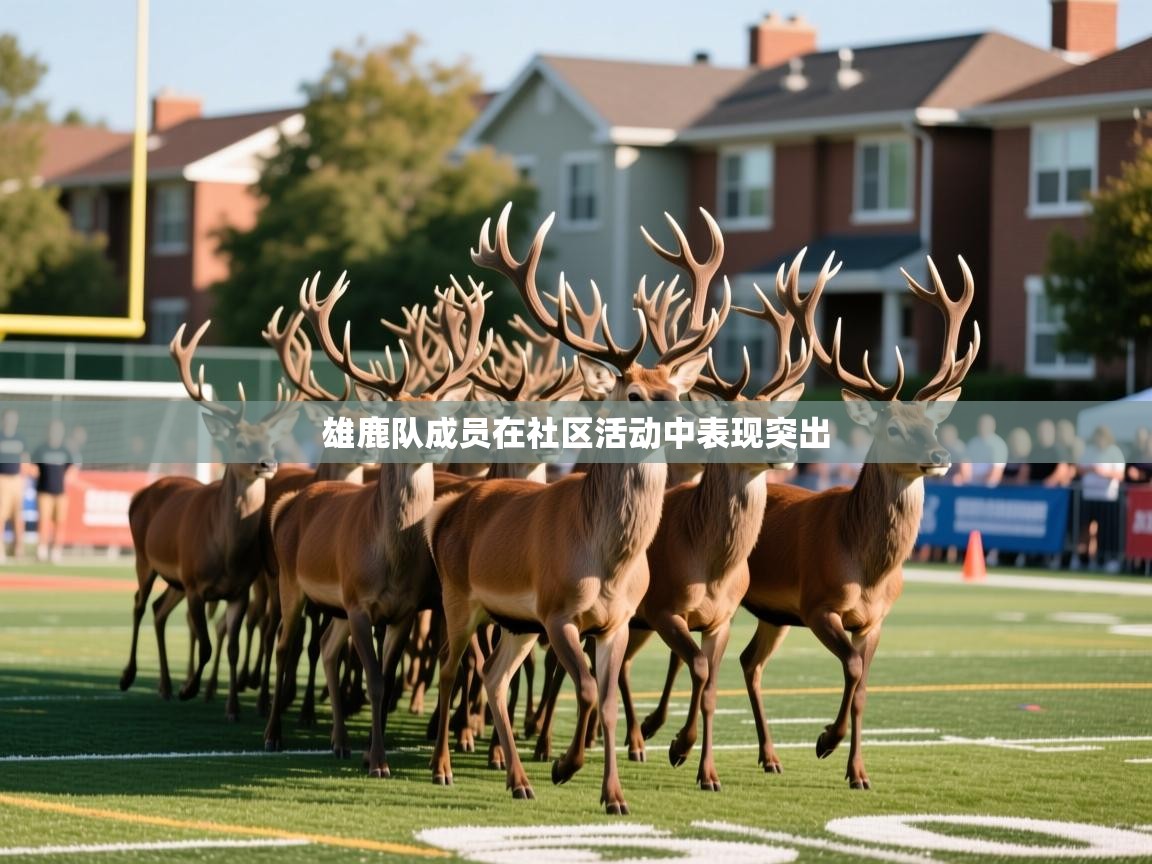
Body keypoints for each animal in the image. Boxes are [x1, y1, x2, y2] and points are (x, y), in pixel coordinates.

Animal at [118, 321, 299, 720]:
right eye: (239, 442)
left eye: (271, 443)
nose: (269, 463)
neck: (226, 553)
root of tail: (141, 493)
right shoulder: (196, 585)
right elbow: (204, 644)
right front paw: (190, 688)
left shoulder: (238, 591)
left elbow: (229, 647)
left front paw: (231, 707)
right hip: (145, 557)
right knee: (139, 604)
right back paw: (129, 677)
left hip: (175, 579)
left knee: (158, 610)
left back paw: (164, 686)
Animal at [264, 272, 488, 775]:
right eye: (399, 414)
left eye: (438, 411)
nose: (437, 439)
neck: (391, 561)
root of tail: (287, 503)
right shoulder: (359, 600)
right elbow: (375, 681)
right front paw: (379, 762)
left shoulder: (402, 611)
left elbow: (383, 681)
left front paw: (371, 753)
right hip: (291, 581)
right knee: (286, 647)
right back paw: (273, 735)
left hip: (335, 607)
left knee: (328, 646)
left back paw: (340, 742)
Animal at [423, 202, 719, 815]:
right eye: (635, 395)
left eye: (676, 391)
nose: (690, 425)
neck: (608, 563)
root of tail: (449, 511)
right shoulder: (557, 611)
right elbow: (582, 689)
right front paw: (564, 765)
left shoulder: (616, 621)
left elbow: (603, 700)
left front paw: (613, 795)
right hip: (460, 596)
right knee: (450, 668)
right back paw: (443, 768)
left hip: (515, 622)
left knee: (493, 679)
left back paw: (518, 779)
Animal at [732, 249, 980, 790]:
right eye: (893, 428)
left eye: (933, 423)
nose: (940, 455)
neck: (868, 568)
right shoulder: (817, 604)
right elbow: (849, 667)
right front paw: (826, 740)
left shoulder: (876, 619)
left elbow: (863, 683)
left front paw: (858, 772)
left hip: (771, 613)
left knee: (749, 662)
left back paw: (770, 756)